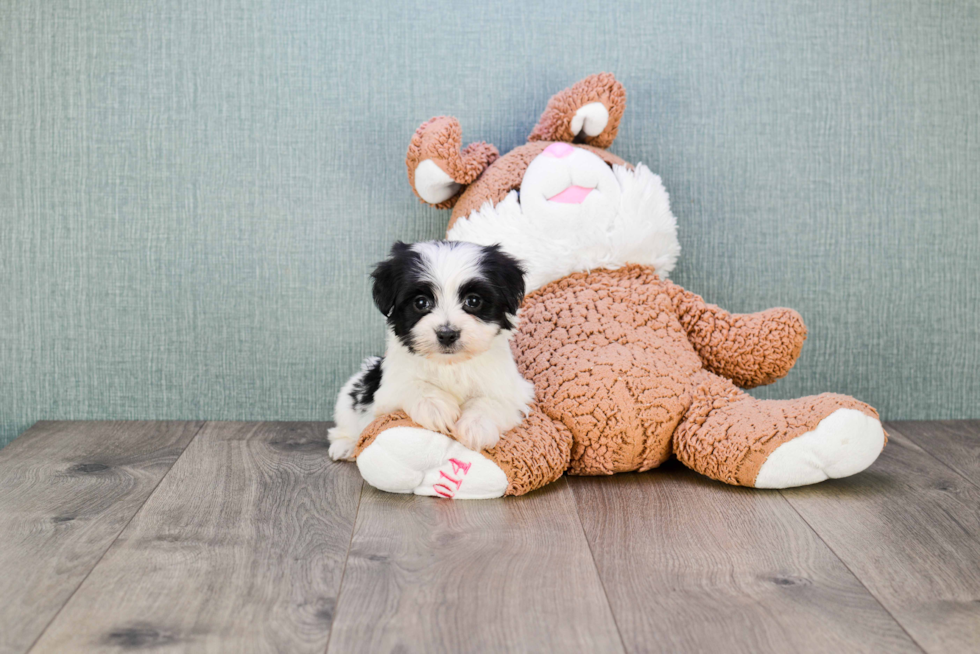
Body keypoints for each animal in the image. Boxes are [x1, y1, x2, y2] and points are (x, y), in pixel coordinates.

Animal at [326, 241, 532, 462]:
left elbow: (492, 400)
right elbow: (412, 385)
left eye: (473, 301)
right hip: (353, 391)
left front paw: (476, 426)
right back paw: (345, 445)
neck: (450, 364)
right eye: (421, 302)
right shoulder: (387, 392)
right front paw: (436, 407)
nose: (447, 334)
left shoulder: (512, 388)